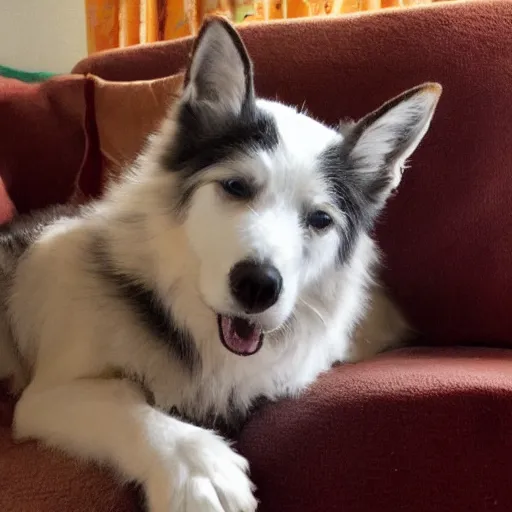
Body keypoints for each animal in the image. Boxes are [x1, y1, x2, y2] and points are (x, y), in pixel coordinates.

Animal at [0, 16, 440, 512]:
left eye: (320, 219)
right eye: (236, 187)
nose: (258, 286)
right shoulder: (47, 396)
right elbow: (119, 397)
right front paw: (194, 465)